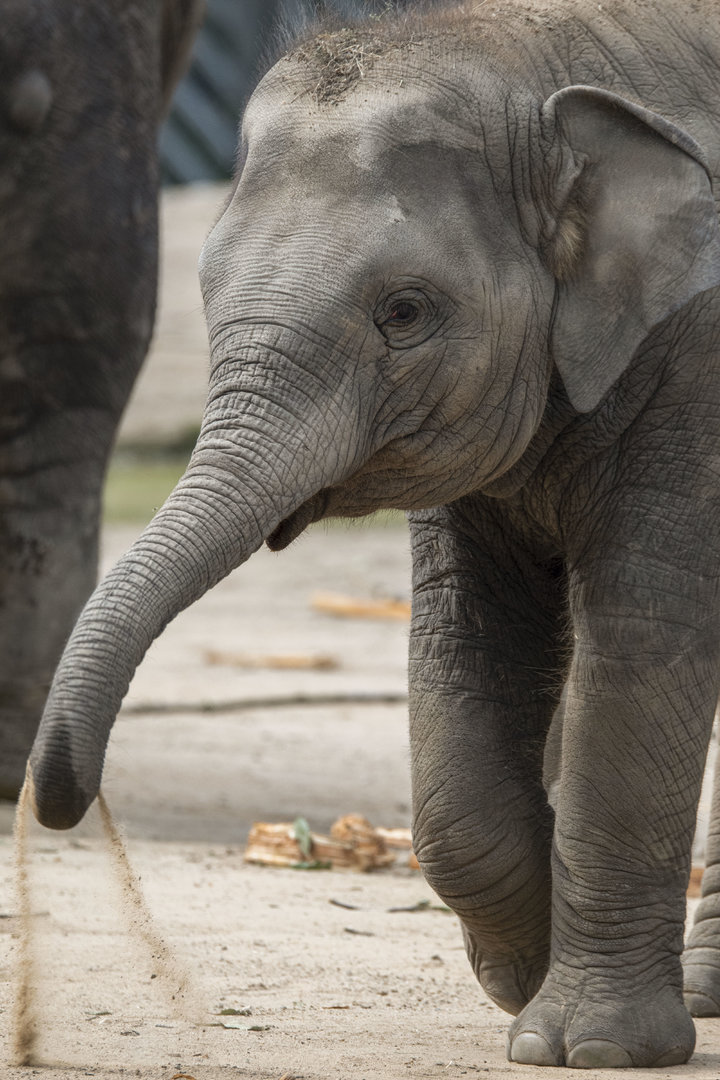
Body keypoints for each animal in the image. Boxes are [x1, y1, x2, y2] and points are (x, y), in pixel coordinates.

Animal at [22, 0, 720, 1068]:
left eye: (404, 311)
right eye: (205, 291)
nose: (57, 800)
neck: (534, 55)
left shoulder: (698, 364)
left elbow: (643, 636)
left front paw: (586, 1049)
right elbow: (464, 642)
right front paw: (520, 979)